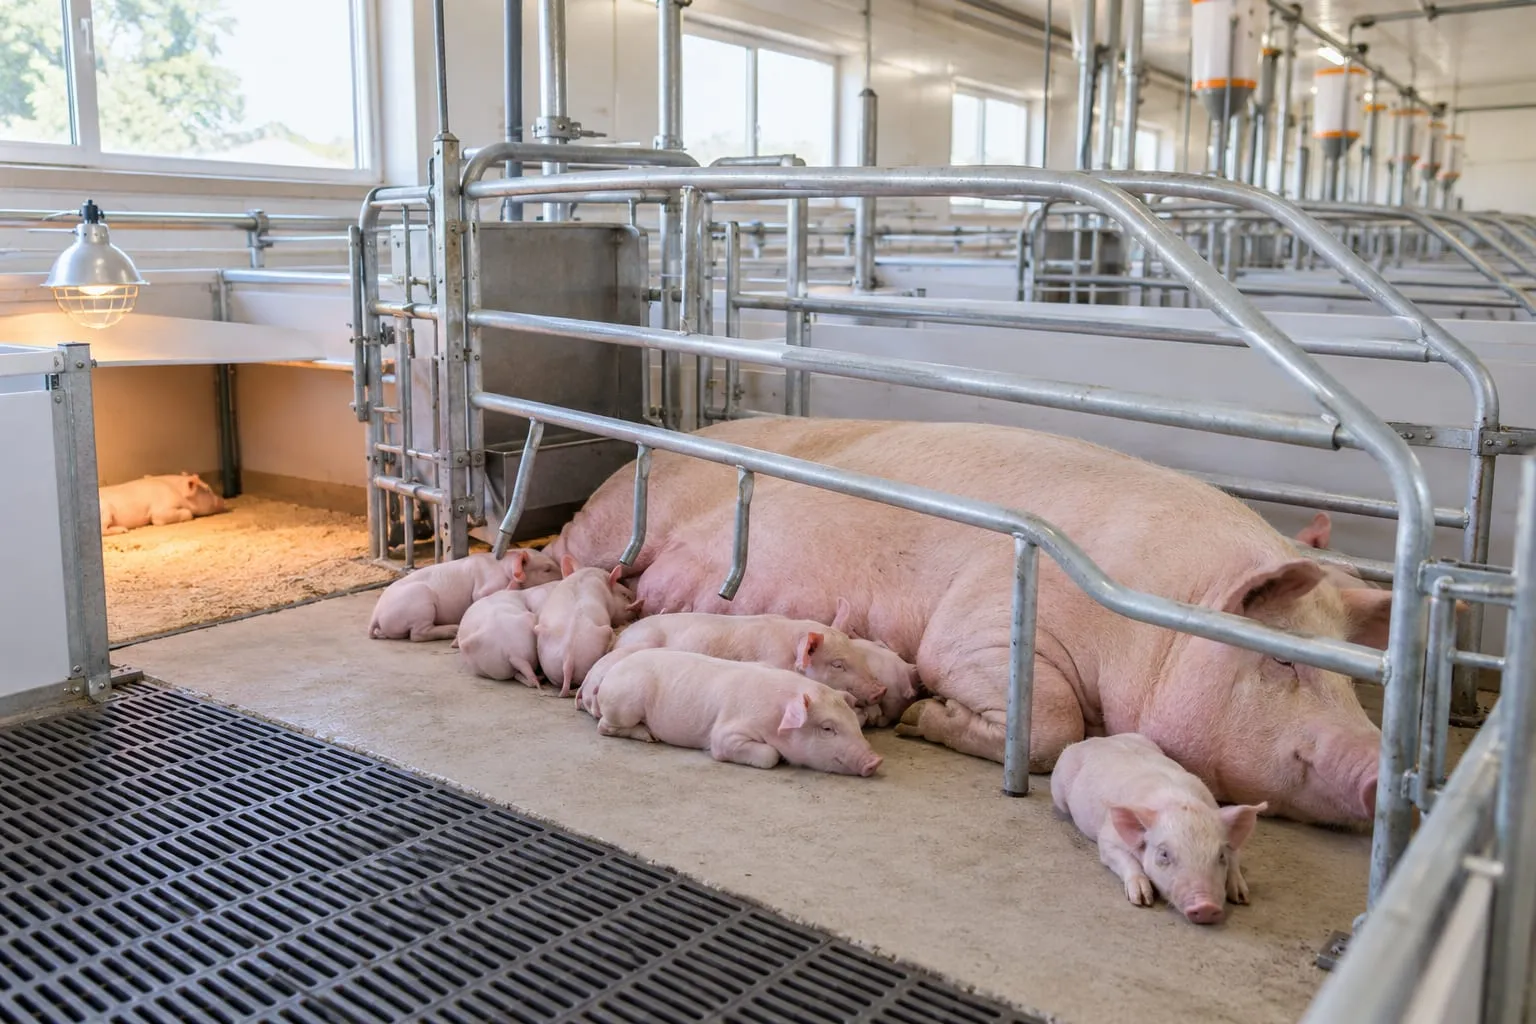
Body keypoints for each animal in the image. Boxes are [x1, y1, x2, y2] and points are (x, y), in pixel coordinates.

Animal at [99, 473, 227, 534]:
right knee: (103, 530)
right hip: (106, 511)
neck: (176, 491)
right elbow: (187, 513)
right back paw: (123, 530)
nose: (223, 500)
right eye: (208, 489)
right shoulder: (160, 511)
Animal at [368, 549, 561, 642]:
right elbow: (481, 595)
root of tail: (376, 615)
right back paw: (453, 630)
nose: (563, 576)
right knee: (417, 635)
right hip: (420, 603)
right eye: (547, 569)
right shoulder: (485, 585)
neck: (503, 567)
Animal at [576, 648, 883, 777]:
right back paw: (650, 736)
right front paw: (779, 757)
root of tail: (607, 678)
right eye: (827, 728)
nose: (875, 761)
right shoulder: (726, 732)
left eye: (854, 725)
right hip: (625, 705)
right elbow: (767, 755)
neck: (774, 715)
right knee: (605, 727)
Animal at [1051, 734, 1266, 925]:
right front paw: (1142, 900)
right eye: (1164, 854)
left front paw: (1241, 898)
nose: (1206, 906)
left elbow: (1235, 859)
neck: (1177, 800)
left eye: (1220, 855)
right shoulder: (1107, 838)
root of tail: (1095, 739)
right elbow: (1124, 860)